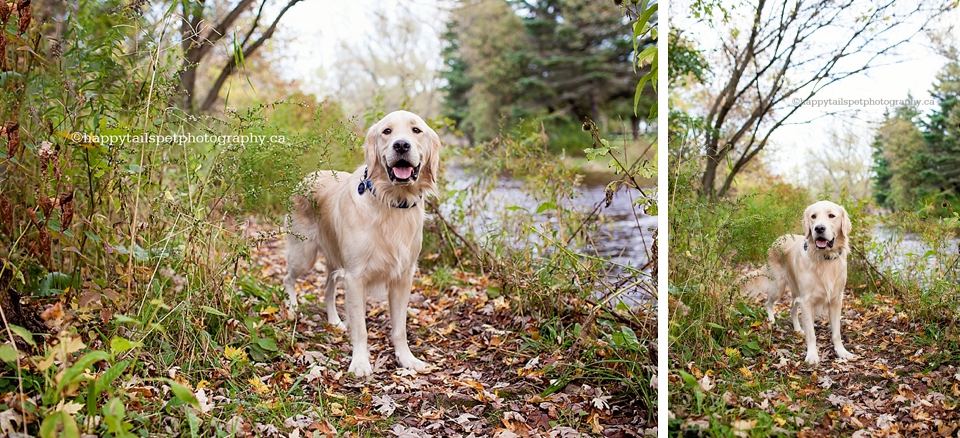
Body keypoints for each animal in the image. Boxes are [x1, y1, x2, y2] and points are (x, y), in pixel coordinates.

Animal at [282, 109, 438, 376]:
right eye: (387, 131)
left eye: (416, 130)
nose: (401, 145)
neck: (391, 202)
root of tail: (307, 176)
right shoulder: (355, 277)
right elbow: (361, 329)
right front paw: (360, 362)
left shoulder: (402, 277)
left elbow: (400, 328)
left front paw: (407, 358)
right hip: (304, 254)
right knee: (288, 279)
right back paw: (292, 308)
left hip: (335, 260)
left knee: (327, 289)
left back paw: (334, 321)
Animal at [760, 200, 860, 364]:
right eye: (813, 216)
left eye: (831, 215)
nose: (819, 228)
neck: (824, 258)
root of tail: (778, 239)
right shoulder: (807, 301)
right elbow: (812, 334)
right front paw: (812, 355)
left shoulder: (835, 300)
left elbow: (836, 333)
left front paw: (841, 351)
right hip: (778, 286)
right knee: (768, 303)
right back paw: (772, 322)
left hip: (795, 293)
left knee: (792, 310)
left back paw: (797, 329)